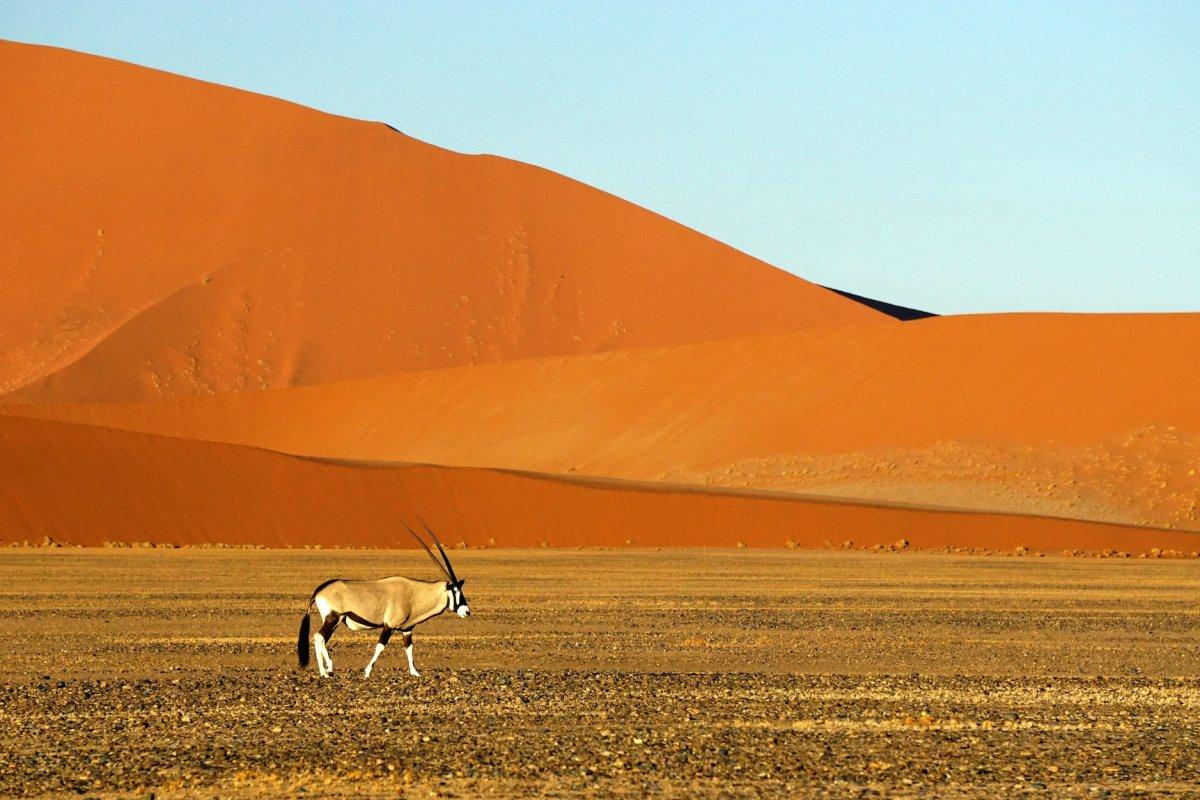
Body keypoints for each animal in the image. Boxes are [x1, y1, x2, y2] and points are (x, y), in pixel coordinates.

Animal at [297, 522, 470, 681]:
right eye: (455, 591)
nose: (467, 612)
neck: (414, 593)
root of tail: (320, 589)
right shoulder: (389, 626)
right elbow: (380, 647)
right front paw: (367, 672)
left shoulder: (407, 629)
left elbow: (409, 648)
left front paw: (415, 672)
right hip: (334, 618)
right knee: (319, 637)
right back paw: (327, 670)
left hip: (335, 621)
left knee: (320, 639)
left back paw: (325, 671)